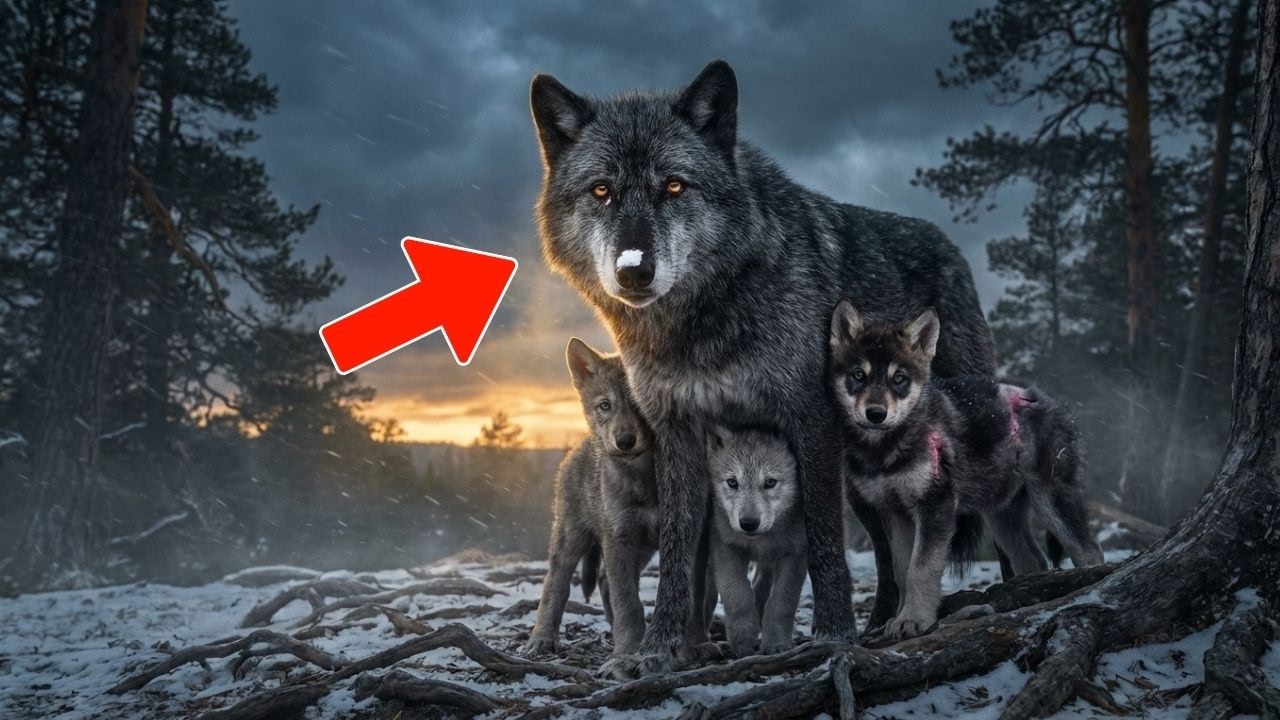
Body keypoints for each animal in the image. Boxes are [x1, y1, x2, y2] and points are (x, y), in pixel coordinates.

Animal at [523, 339, 659, 656]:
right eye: (605, 405)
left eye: (639, 403)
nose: (624, 441)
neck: (643, 479)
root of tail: (577, 449)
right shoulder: (619, 539)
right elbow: (628, 604)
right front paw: (628, 650)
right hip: (572, 540)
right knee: (555, 585)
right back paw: (542, 639)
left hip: (643, 548)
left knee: (604, 581)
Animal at [705, 426, 808, 656]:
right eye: (732, 482)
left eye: (770, 483)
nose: (749, 523)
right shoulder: (725, 547)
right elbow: (737, 594)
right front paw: (742, 638)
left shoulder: (796, 553)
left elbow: (782, 603)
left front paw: (777, 644)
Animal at [828, 302, 1103, 639]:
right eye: (858, 375)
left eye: (899, 379)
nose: (876, 414)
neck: (887, 449)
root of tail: (1053, 402)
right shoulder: (895, 513)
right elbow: (902, 570)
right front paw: (899, 619)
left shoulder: (936, 506)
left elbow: (921, 568)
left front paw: (913, 619)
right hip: (1002, 514)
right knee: (1034, 559)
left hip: (1051, 497)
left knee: (1088, 549)